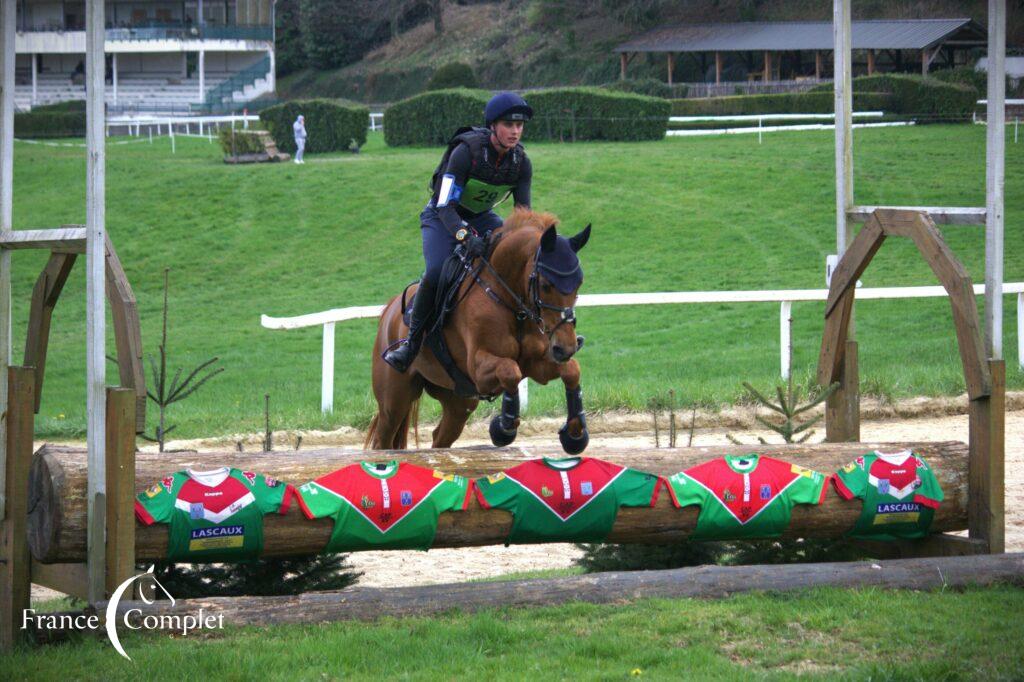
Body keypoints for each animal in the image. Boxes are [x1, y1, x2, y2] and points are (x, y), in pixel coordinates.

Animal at [368, 206, 593, 450]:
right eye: (545, 285)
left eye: (579, 283)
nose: (566, 348)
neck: (510, 301)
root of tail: (390, 308)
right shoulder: (478, 368)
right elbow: (510, 371)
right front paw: (503, 427)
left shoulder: (536, 363)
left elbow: (572, 370)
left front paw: (575, 434)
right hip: (394, 399)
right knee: (383, 439)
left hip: (459, 400)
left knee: (441, 437)